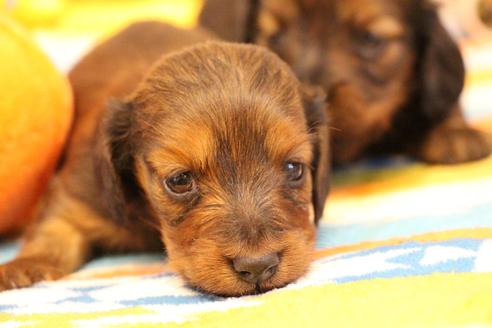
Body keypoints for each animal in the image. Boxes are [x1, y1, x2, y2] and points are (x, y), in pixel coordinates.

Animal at [0, 21, 330, 296]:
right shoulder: (78, 198)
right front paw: (24, 268)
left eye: (294, 168)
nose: (258, 266)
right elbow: (53, 233)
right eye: (180, 180)